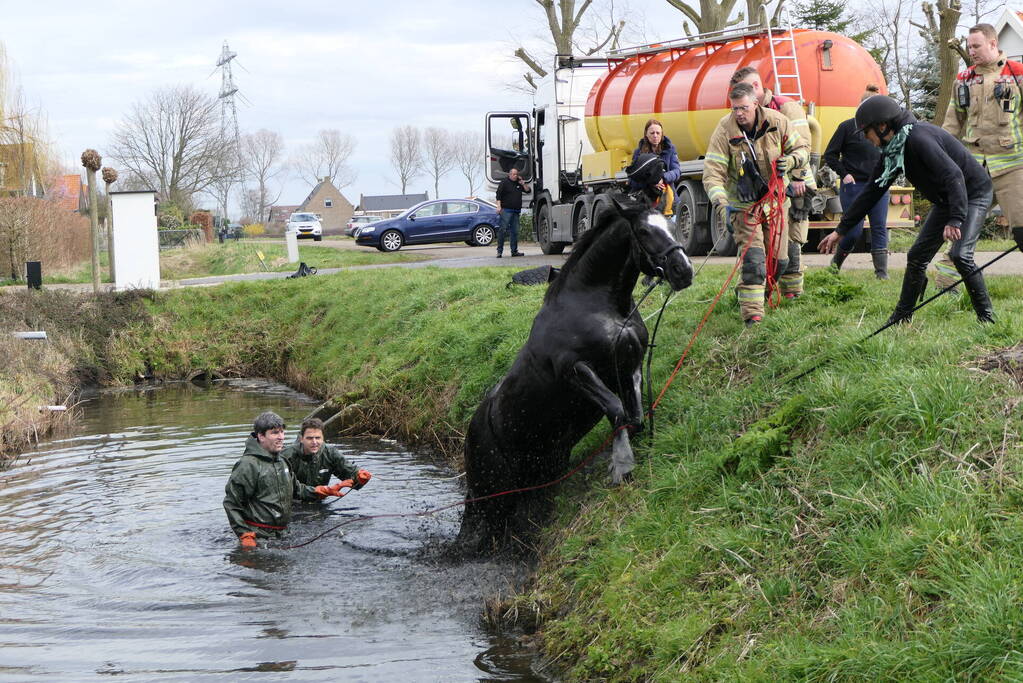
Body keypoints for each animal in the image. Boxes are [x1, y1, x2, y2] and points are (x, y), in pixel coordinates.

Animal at [458, 192, 695, 552]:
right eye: (644, 231)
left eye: (671, 224)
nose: (684, 271)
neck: (598, 305)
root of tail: (471, 432)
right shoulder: (576, 370)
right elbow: (615, 408)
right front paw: (621, 465)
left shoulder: (630, 365)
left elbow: (635, 416)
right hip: (491, 491)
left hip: (537, 472)